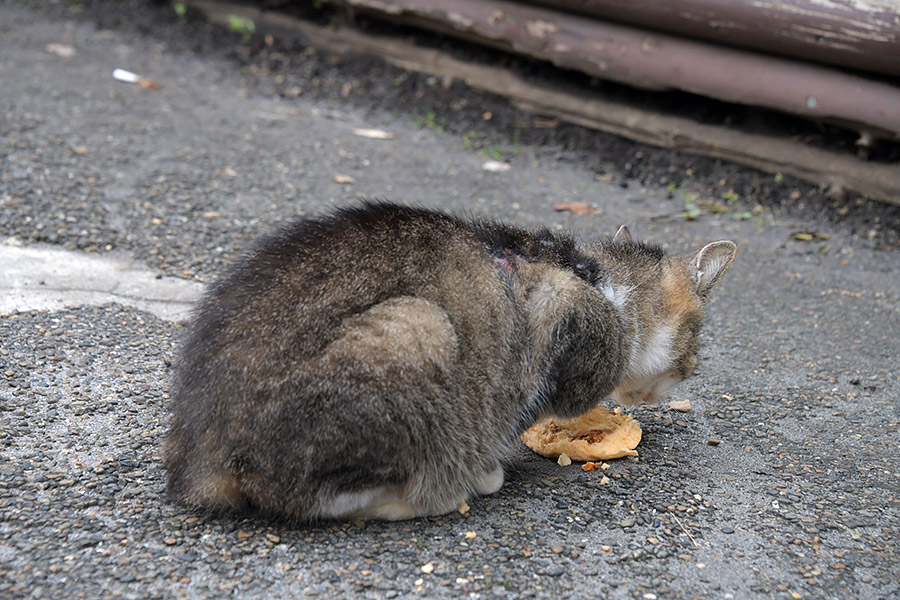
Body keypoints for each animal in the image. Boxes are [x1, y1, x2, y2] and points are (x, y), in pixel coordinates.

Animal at [163, 203, 740, 520]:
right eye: (698, 335)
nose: (689, 372)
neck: (600, 280)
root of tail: (199, 460)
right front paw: (488, 468)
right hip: (417, 330)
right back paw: (441, 491)